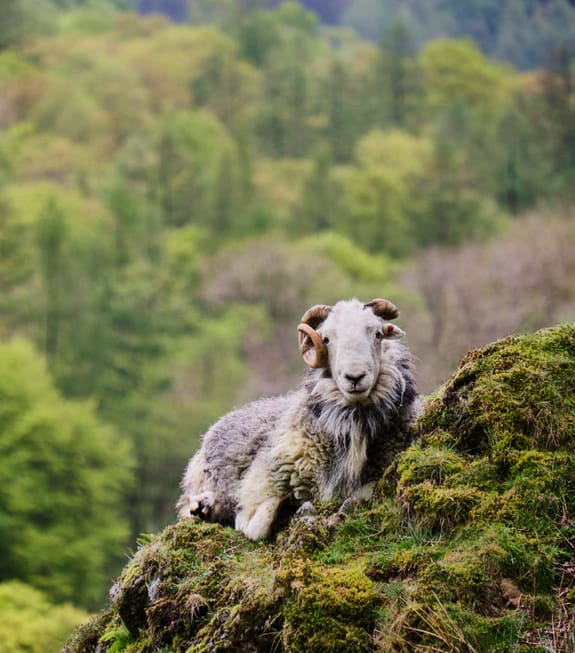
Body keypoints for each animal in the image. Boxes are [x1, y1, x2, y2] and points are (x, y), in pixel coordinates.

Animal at [177, 298, 418, 536]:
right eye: (326, 339)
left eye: (377, 334)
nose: (355, 377)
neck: (352, 424)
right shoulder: (260, 478)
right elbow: (255, 526)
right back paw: (204, 506)